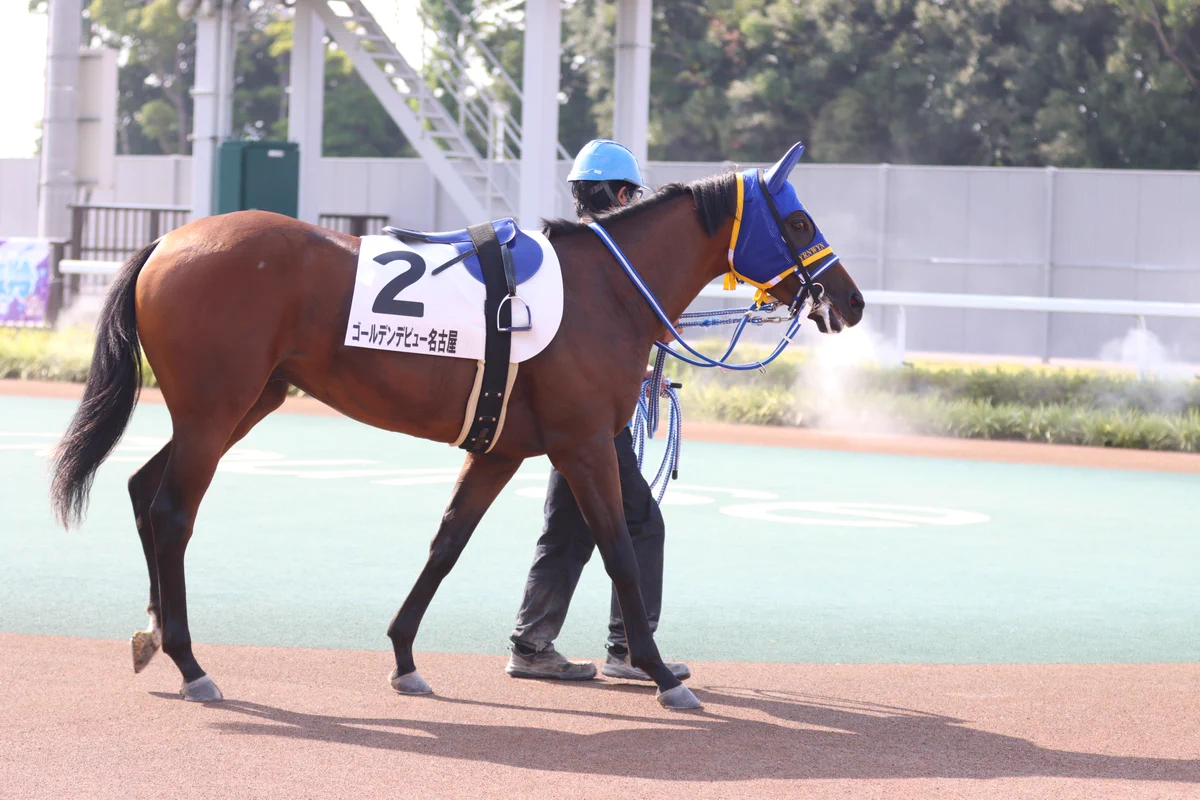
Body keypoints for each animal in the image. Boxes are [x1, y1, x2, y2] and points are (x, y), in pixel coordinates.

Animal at [49, 142, 864, 710]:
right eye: (797, 220)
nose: (851, 301)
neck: (606, 290)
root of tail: (166, 243)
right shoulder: (584, 447)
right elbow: (621, 553)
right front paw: (662, 673)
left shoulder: (502, 450)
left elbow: (447, 544)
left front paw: (405, 659)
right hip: (217, 407)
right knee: (171, 512)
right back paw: (191, 662)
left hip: (242, 404)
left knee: (142, 488)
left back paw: (153, 633)